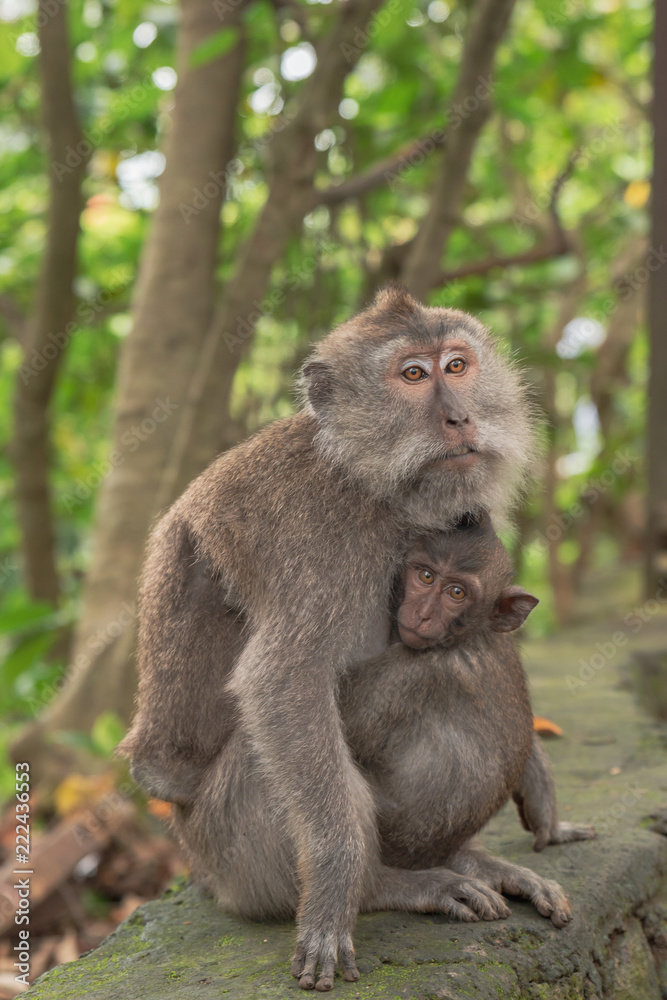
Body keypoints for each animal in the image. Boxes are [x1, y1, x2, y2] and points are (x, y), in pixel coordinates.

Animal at [118, 286, 536, 988]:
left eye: (456, 366)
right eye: (412, 375)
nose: (459, 419)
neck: (374, 483)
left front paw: (537, 777)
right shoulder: (318, 538)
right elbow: (284, 684)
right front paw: (339, 889)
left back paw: (470, 860)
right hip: (231, 853)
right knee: (446, 671)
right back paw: (390, 885)